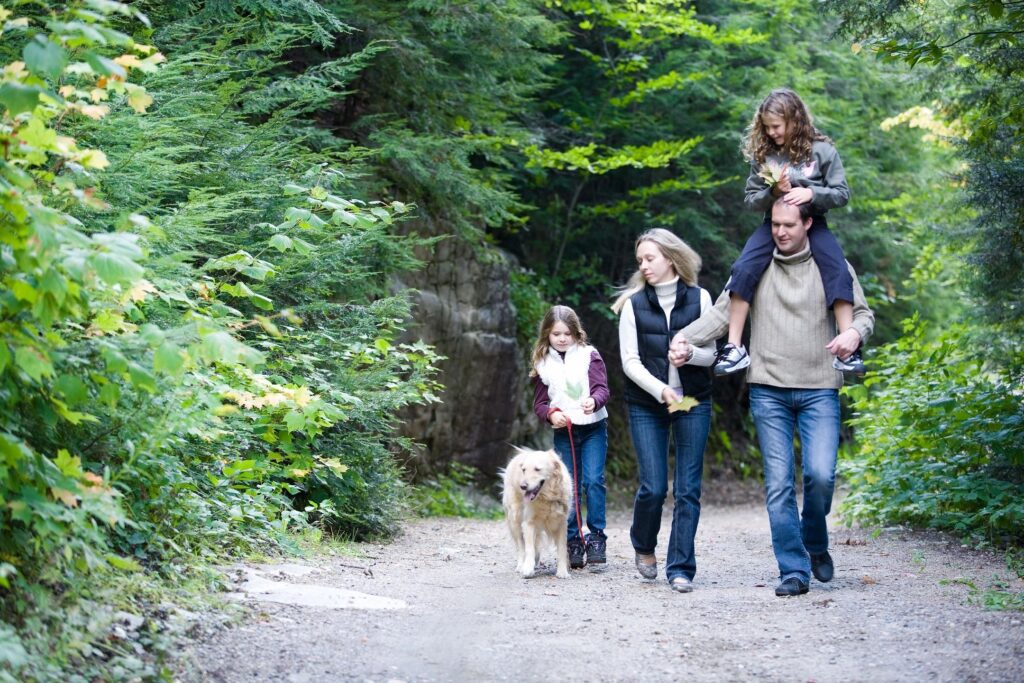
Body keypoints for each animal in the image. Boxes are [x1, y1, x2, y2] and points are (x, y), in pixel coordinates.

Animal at [499, 450, 573, 581]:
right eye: (524, 470)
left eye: (537, 469)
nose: (523, 486)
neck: (547, 498)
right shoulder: (528, 523)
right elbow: (529, 548)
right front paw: (528, 569)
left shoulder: (561, 523)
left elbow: (562, 549)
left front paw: (562, 572)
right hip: (515, 519)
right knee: (521, 546)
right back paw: (521, 565)